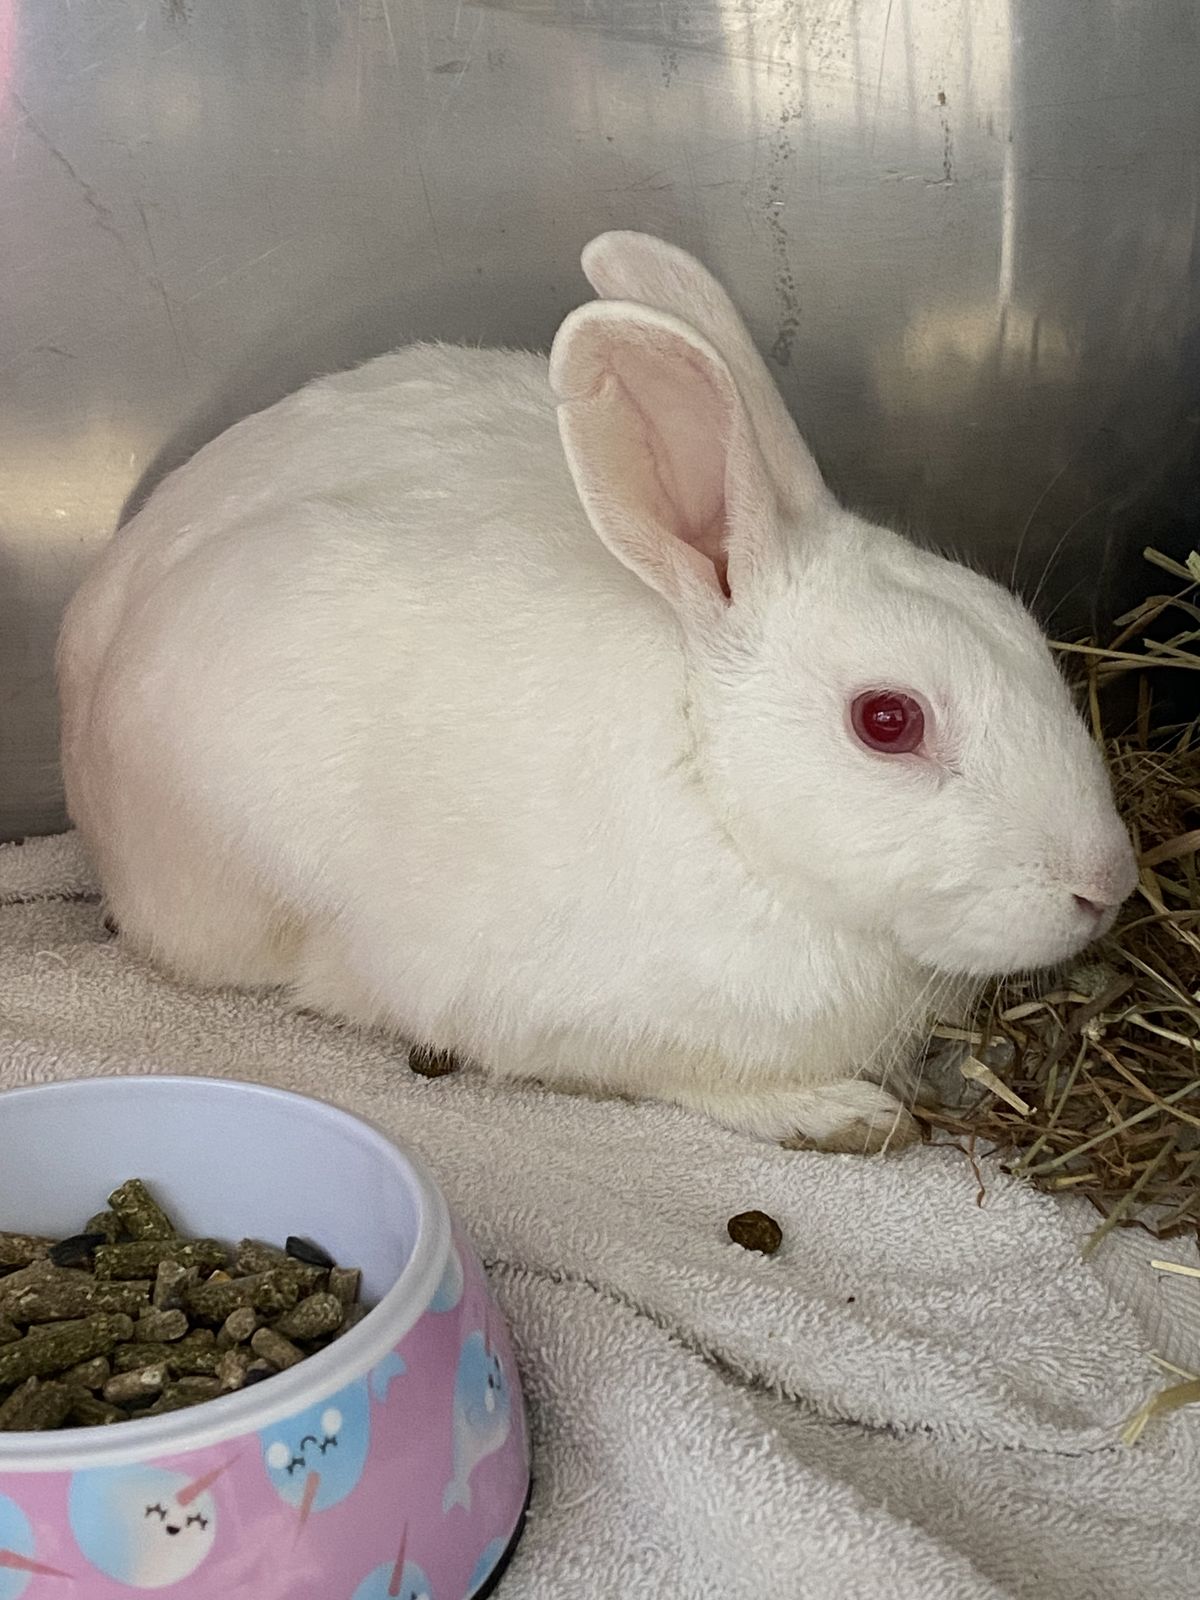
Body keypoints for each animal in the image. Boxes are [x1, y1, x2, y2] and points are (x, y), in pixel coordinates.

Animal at [57, 230, 1137, 1155]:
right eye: (887, 720)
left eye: (1022, 628)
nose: (1108, 885)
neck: (720, 793)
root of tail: (81, 644)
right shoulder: (559, 1020)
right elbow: (681, 1078)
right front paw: (842, 1113)